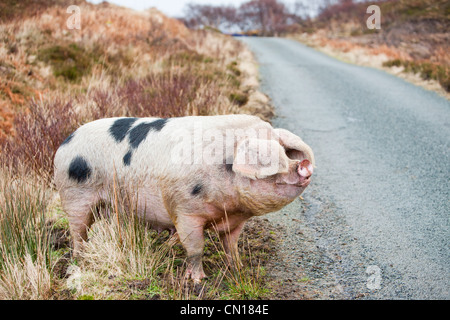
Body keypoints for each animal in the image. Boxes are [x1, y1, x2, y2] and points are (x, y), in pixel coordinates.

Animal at [54, 114, 314, 282]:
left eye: (286, 151)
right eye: (274, 159)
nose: (304, 164)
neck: (230, 207)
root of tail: (66, 141)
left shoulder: (235, 221)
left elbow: (231, 246)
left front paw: (239, 270)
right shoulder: (185, 210)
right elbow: (196, 248)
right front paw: (198, 281)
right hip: (74, 197)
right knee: (78, 233)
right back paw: (79, 261)